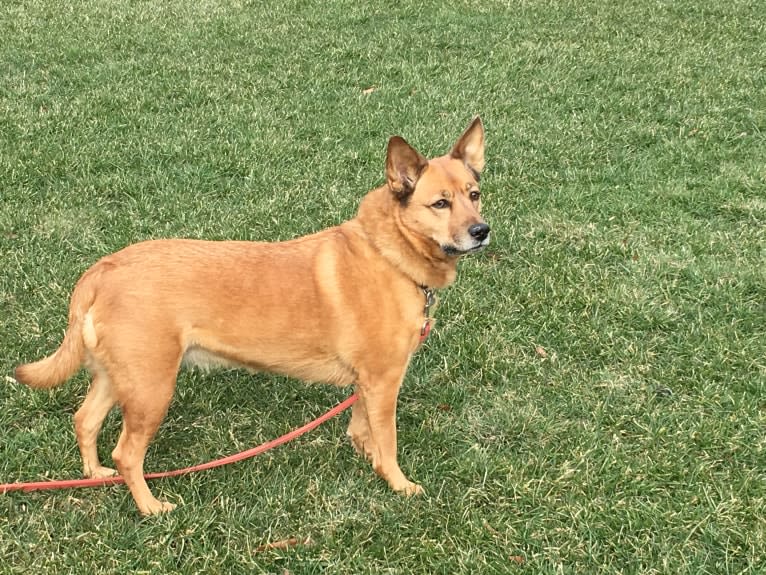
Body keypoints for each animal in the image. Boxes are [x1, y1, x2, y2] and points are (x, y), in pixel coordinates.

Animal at [15, 118, 492, 516]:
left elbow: (362, 430)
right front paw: (398, 484)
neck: (389, 252)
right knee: (127, 454)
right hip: (152, 391)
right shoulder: (384, 380)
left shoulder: (369, 383)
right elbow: (388, 442)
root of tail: (103, 269)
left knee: (84, 421)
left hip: (119, 379)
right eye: (440, 203)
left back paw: (95, 475)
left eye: (474, 195)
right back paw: (150, 507)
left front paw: (367, 458)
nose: (482, 231)